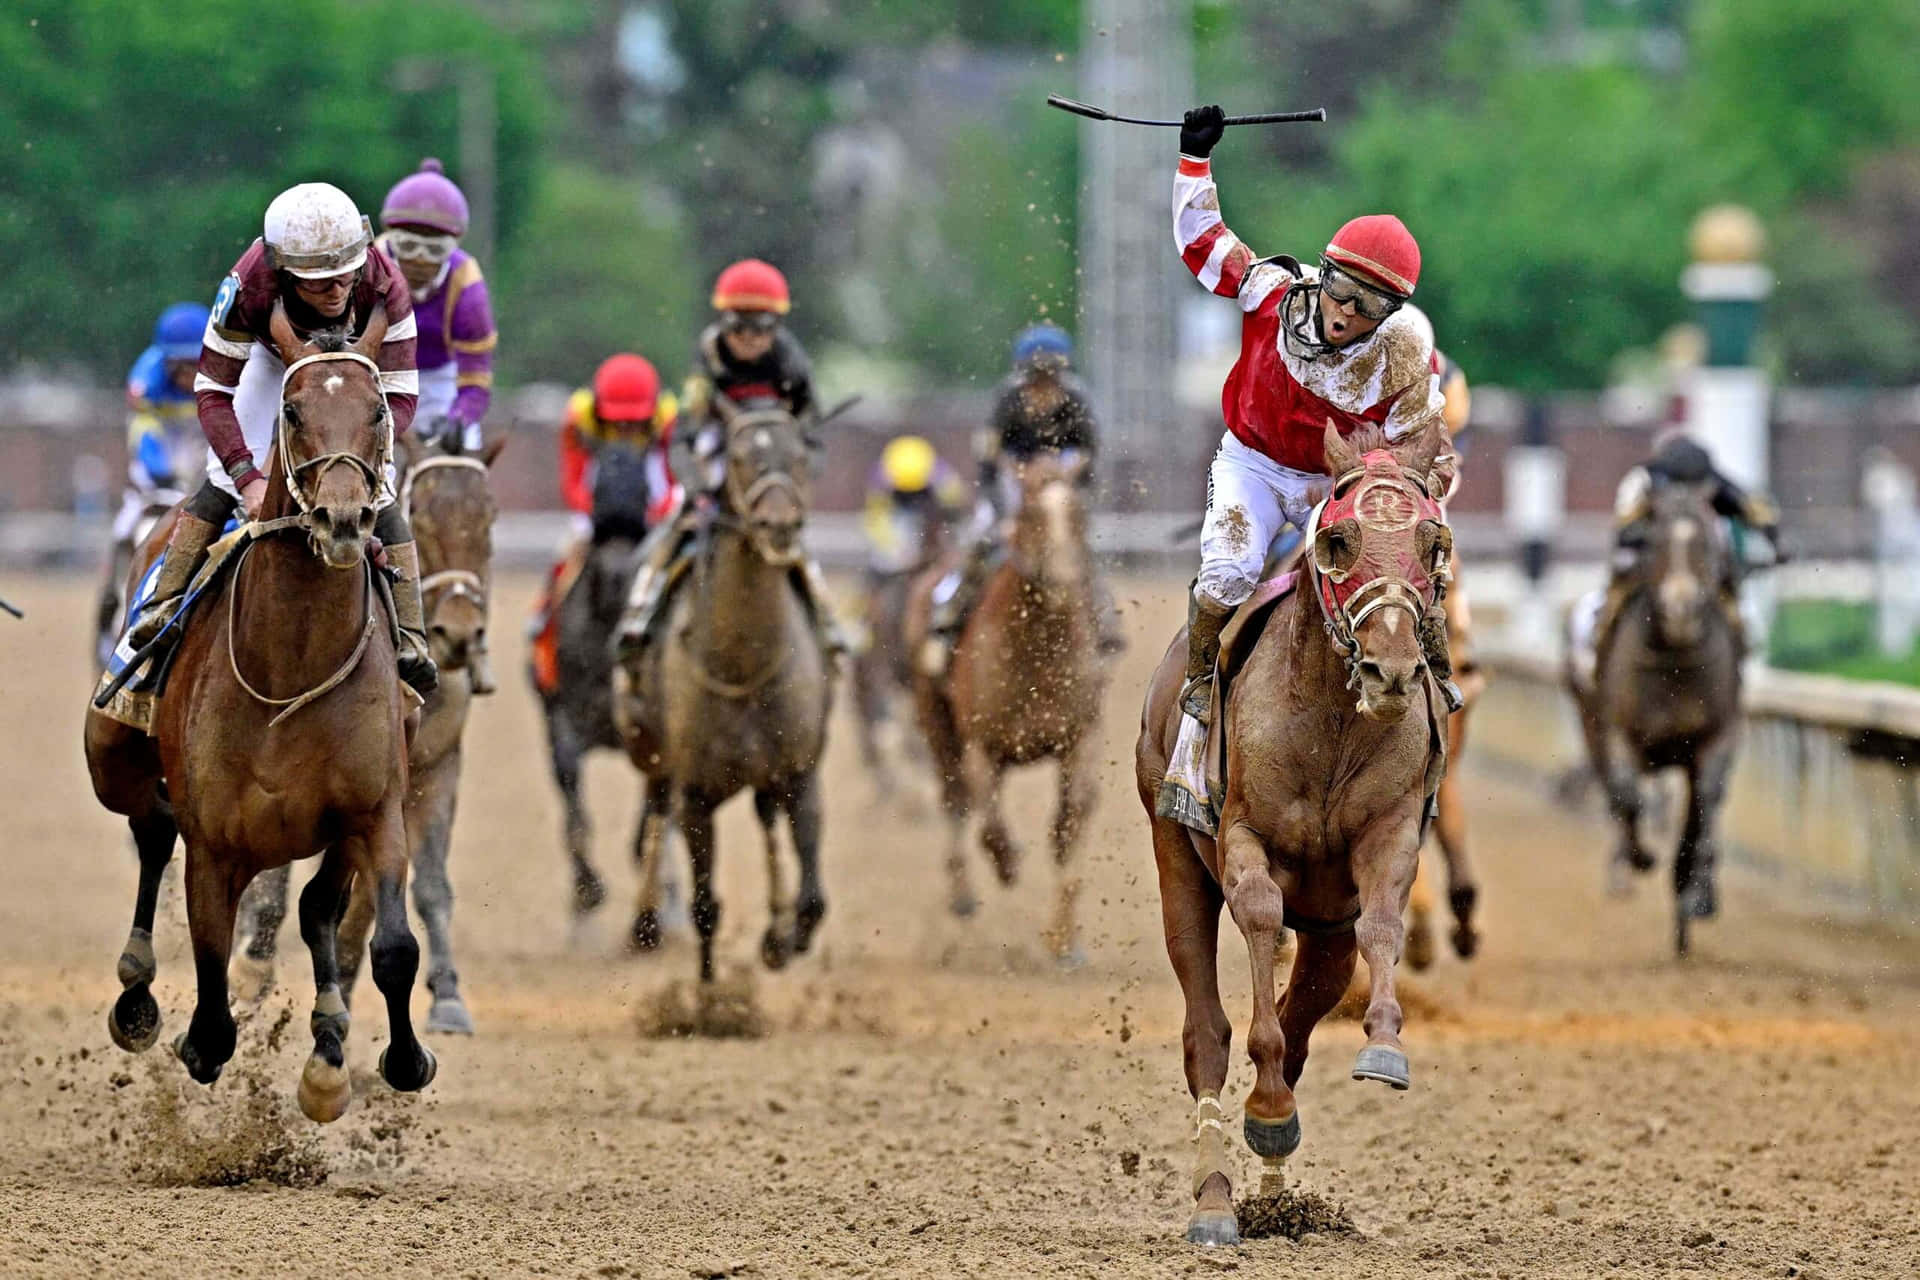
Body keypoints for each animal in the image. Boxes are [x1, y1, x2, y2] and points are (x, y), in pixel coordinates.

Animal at [84, 303, 436, 1123]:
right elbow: (213, 988)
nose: (343, 520)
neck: (293, 664)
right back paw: (136, 996)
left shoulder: (376, 811)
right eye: (294, 412)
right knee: (152, 831)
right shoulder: (216, 841)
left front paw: (390, 1060)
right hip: (109, 756)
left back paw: (329, 1042)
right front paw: (196, 1038)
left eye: (377, 411)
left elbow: (390, 946)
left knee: (315, 909)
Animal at [613, 399, 832, 982]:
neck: (742, 666)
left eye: (801, 454)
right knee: (656, 809)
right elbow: (704, 905)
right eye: (737, 456)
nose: (778, 525)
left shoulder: (800, 773)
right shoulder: (696, 791)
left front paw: (785, 940)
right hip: (652, 753)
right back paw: (644, 925)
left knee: (766, 820)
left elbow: (813, 898)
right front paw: (711, 993)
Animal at [902, 452, 1104, 963]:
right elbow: (989, 824)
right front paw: (1009, 864)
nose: (1063, 583)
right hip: (937, 726)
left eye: (1079, 514)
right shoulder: (982, 745)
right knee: (955, 802)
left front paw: (1064, 939)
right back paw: (962, 897)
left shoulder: (1079, 739)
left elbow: (1070, 823)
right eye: (1030, 513)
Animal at [1135, 422, 1451, 1247]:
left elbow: (1382, 924)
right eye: (1339, 541)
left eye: (1433, 541)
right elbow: (1257, 918)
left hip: (1327, 932)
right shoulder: (1244, 834)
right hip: (1173, 851)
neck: (1330, 724)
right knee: (1205, 1034)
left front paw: (1384, 1048)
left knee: (1309, 1008)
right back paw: (1218, 1203)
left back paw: (1275, 1194)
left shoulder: (1388, 833)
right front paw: (1270, 1110)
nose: (1393, 670)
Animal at [1568, 480, 1743, 955]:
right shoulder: (1620, 731)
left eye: (1705, 541)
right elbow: (1628, 795)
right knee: (1616, 791)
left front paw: (1695, 892)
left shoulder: (1715, 736)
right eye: (1655, 541)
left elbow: (1705, 802)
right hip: (1590, 723)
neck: (1676, 664)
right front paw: (1641, 857)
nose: (1681, 609)